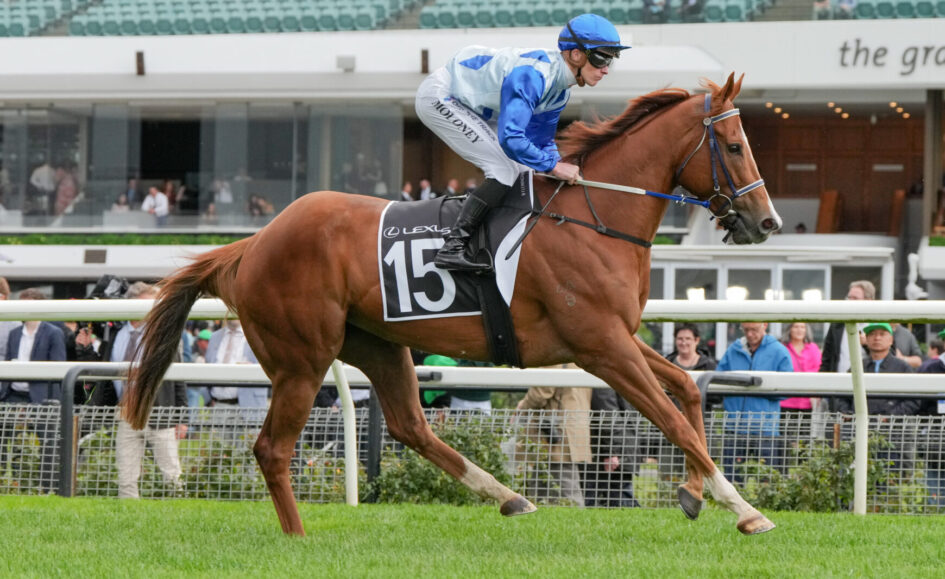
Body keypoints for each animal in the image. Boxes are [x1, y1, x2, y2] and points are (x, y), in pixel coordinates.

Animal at [124, 72, 782, 536]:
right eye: (733, 145)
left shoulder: (617, 338)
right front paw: (743, 507)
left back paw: (510, 497)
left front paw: (694, 494)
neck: (592, 216)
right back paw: (298, 537)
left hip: (378, 344)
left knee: (410, 426)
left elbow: (689, 390)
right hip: (301, 360)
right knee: (273, 448)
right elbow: (672, 418)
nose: (766, 222)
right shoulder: (601, 347)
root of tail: (252, 244)